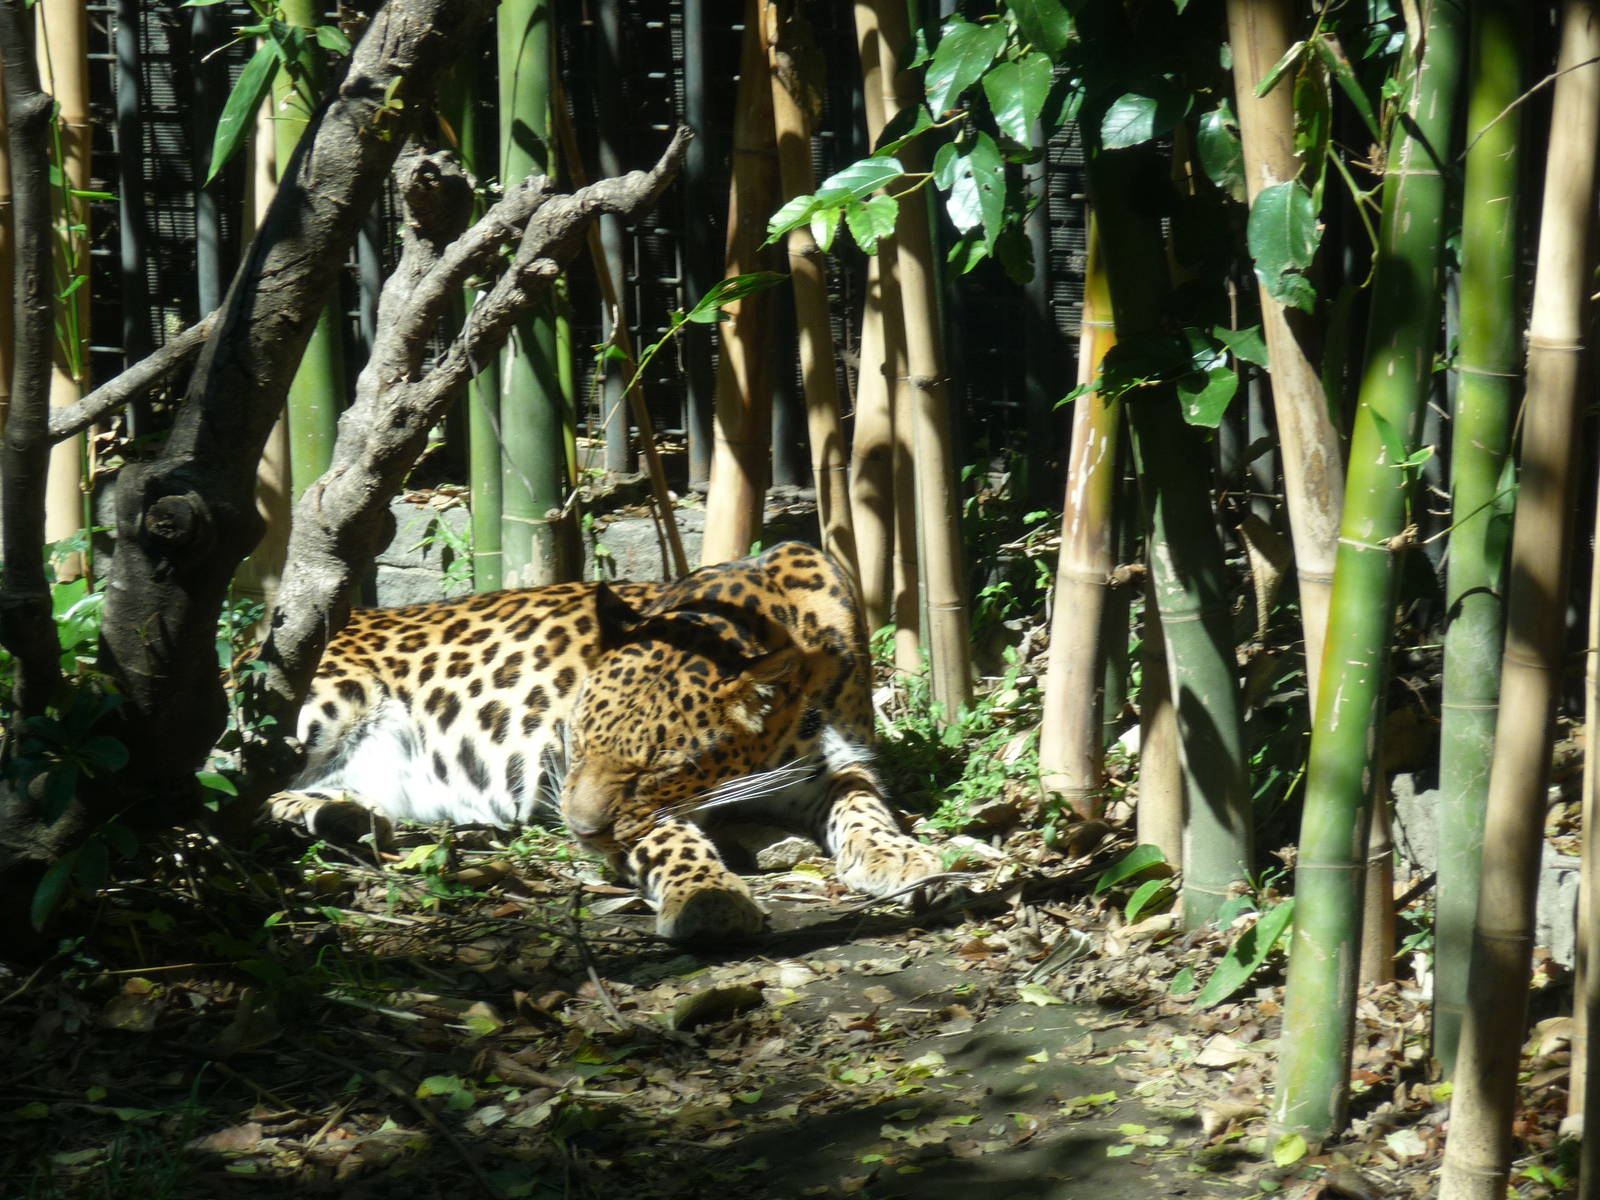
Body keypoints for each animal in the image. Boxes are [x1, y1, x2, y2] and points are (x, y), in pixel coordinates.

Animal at [268, 541, 947, 942]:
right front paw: (708, 898)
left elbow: (864, 805)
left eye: (657, 768)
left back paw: (344, 816)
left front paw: (898, 855)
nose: (579, 831)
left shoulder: (839, 762)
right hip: (325, 699)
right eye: (574, 738)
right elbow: (668, 837)